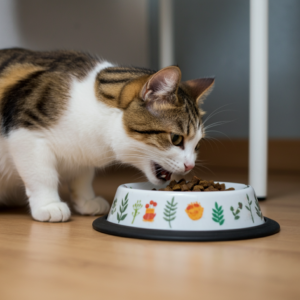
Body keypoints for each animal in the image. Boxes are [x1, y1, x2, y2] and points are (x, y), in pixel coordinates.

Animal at [0, 49, 216, 221]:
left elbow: (83, 176)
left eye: (197, 144)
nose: (190, 166)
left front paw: (86, 200)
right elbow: (42, 175)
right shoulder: (26, 133)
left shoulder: (83, 152)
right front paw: (49, 205)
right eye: (176, 139)